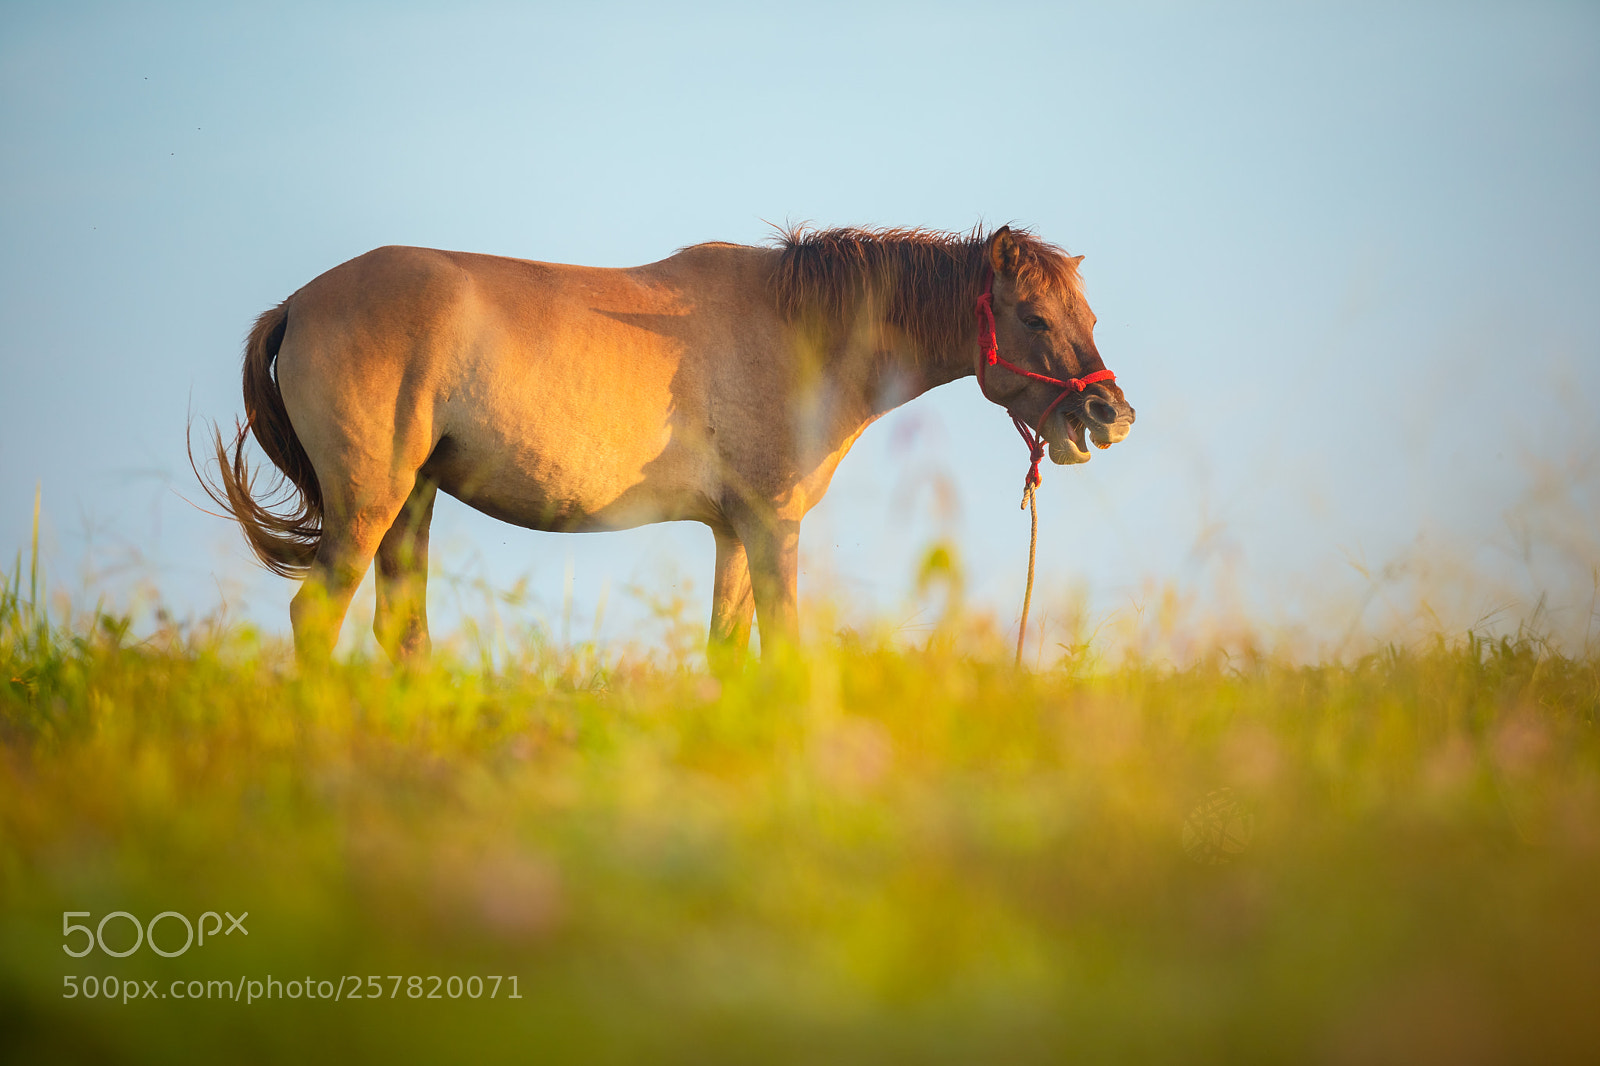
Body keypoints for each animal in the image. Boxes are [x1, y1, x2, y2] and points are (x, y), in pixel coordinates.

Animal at [197, 224, 1134, 667]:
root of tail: (300, 303)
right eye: (1035, 316)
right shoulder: (771, 527)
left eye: (1089, 314)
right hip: (369, 506)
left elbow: (726, 656)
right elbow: (779, 653)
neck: (800, 331)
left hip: (411, 507)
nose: (1110, 414)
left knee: (404, 634)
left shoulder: (734, 534)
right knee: (316, 620)